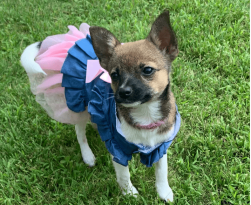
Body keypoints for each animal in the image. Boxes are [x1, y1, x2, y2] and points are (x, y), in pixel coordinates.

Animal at [20, 10, 179, 202]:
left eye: (147, 70)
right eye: (114, 75)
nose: (123, 92)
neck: (145, 113)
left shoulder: (161, 145)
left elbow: (162, 171)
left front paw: (164, 192)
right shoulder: (117, 150)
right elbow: (124, 175)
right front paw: (130, 194)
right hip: (78, 106)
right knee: (79, 131)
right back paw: (87, 155)